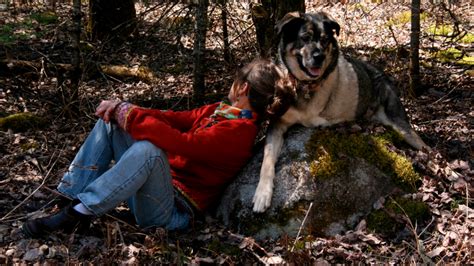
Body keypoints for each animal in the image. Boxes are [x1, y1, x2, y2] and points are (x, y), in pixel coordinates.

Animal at [252, 11, 430, 213]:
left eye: (325, 40)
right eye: (305, 38)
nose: (319, 57)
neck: (306, 86)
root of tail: (380, 73)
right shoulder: (278, 123)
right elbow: (267, 159)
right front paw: (262, 193)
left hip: (401, 126)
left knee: (426, 147)